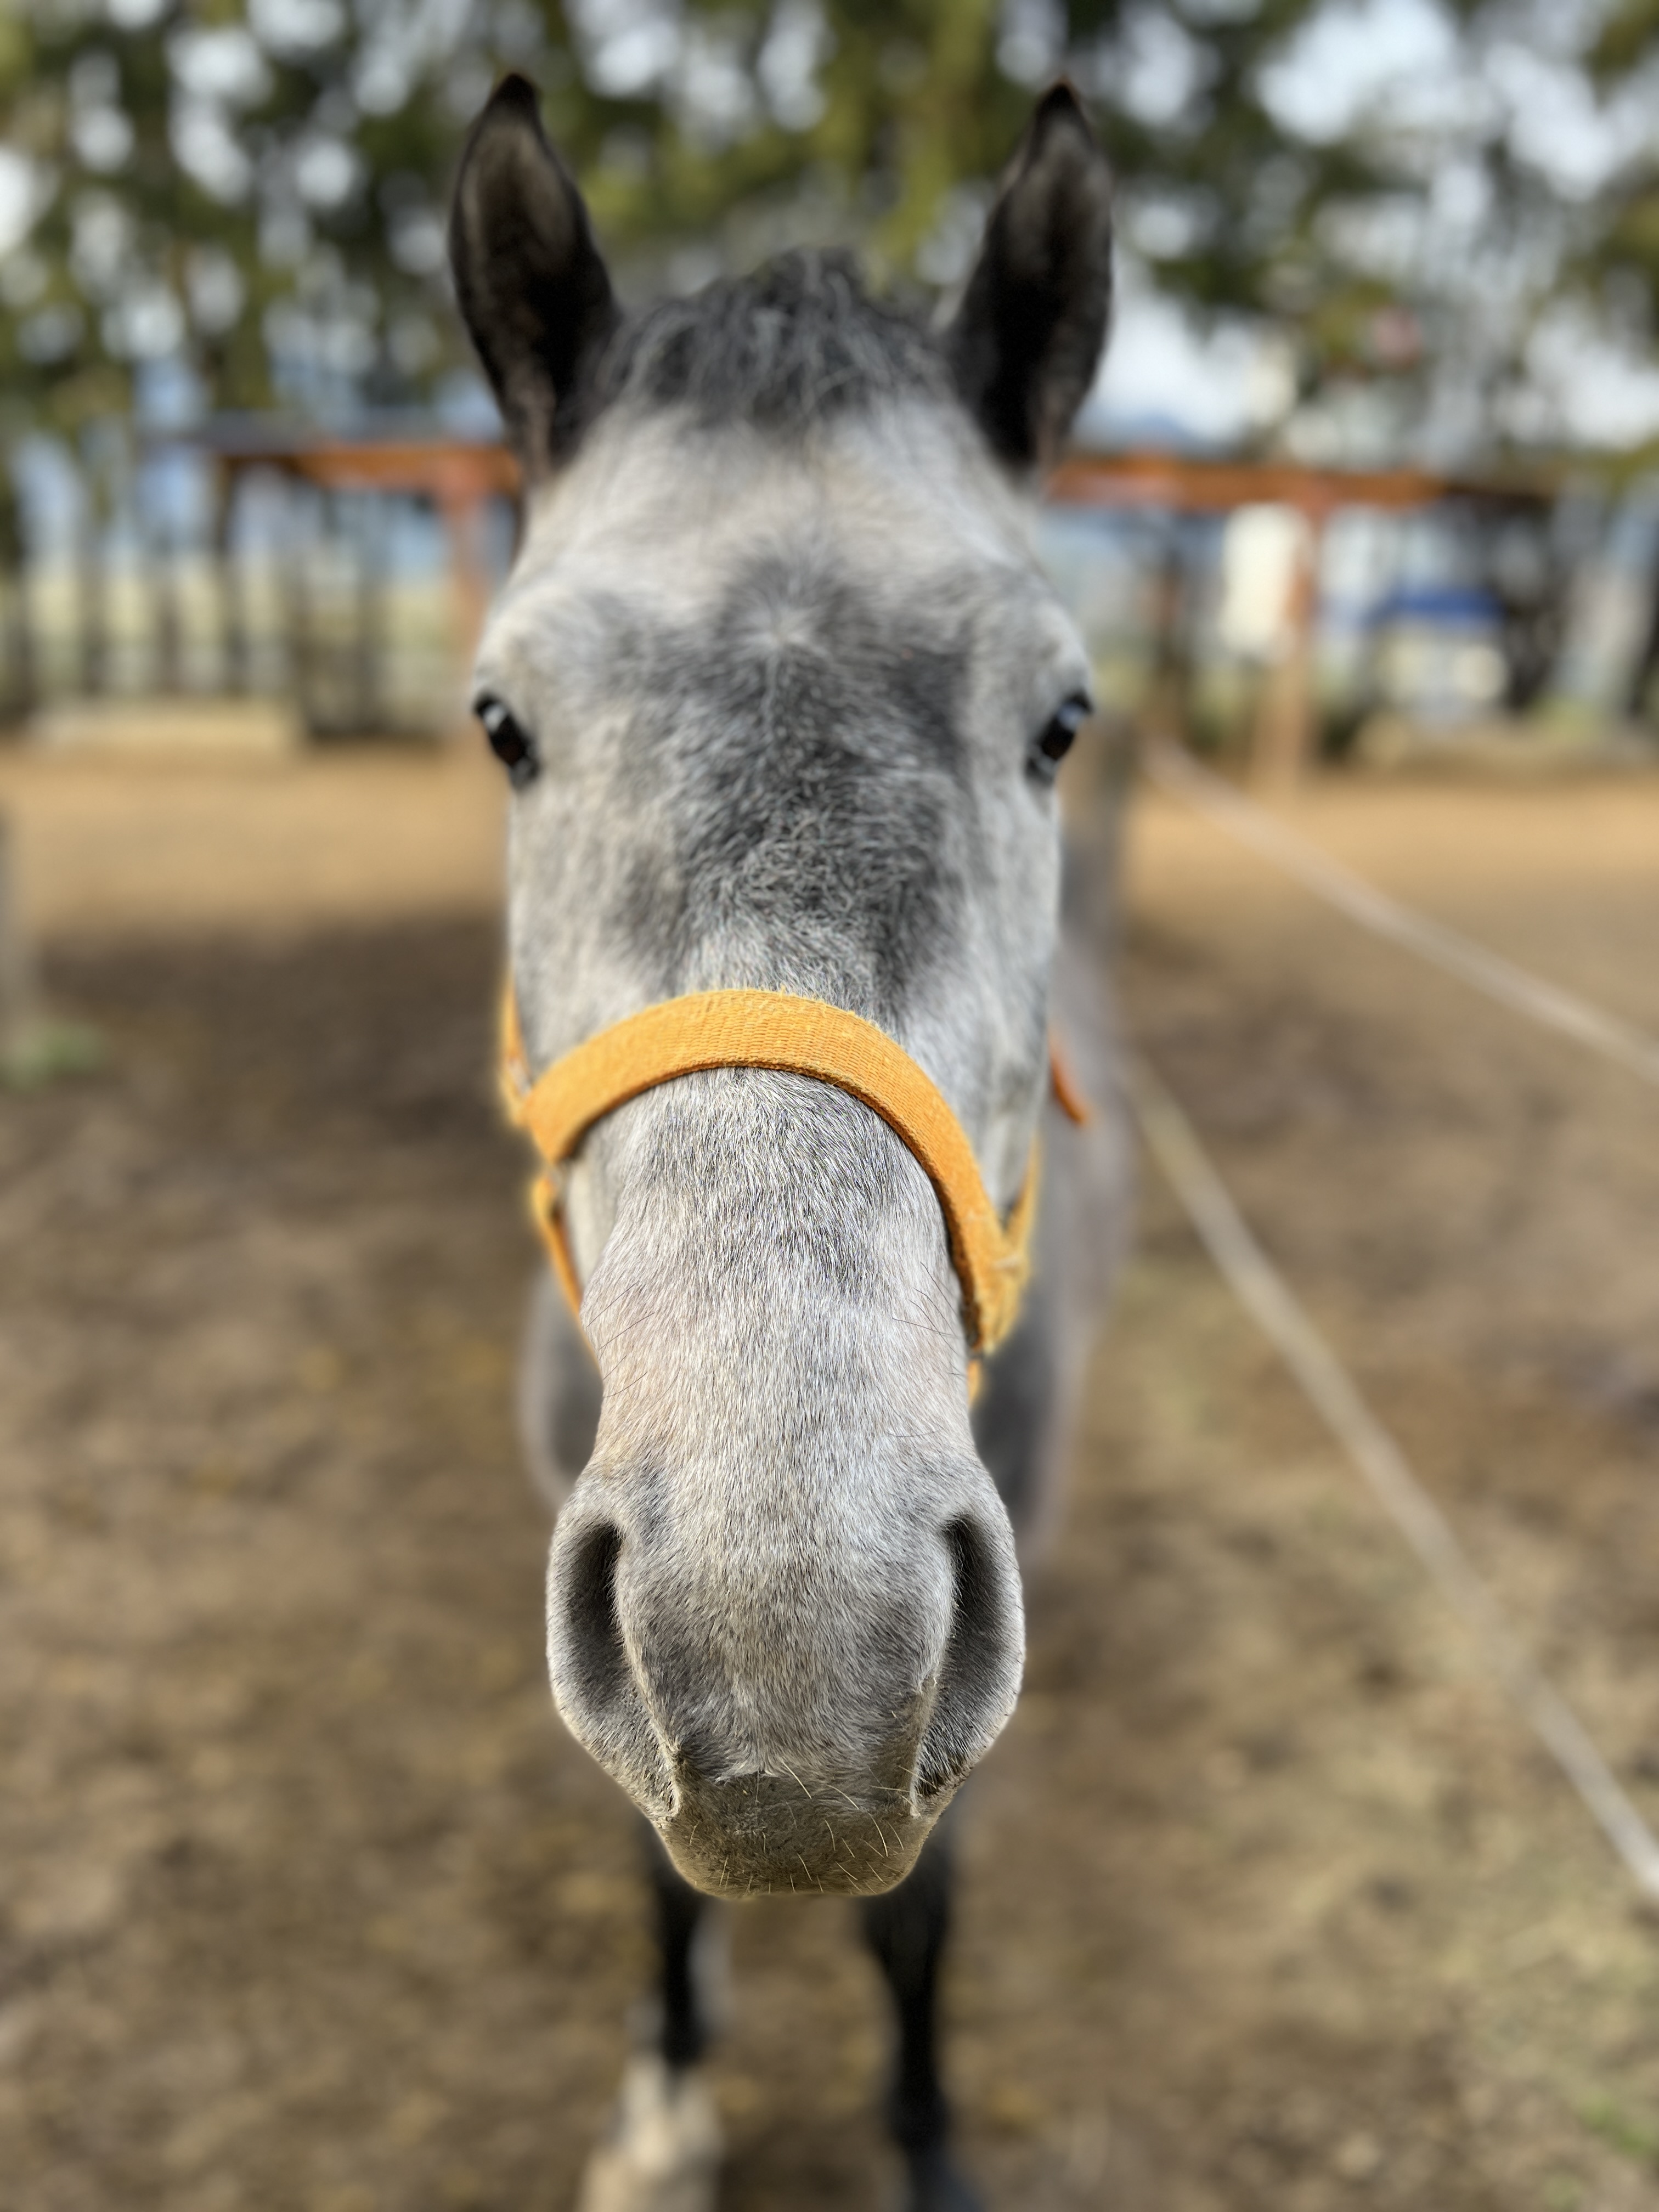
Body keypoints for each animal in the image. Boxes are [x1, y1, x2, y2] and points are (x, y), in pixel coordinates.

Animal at [448, 71, 1126, 2212]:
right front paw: (669, 2098)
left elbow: (920, 1918)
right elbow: (657, 1870)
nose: (788, 1654)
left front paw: (923, 2141)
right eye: (502, 722)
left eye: (1060, 721)